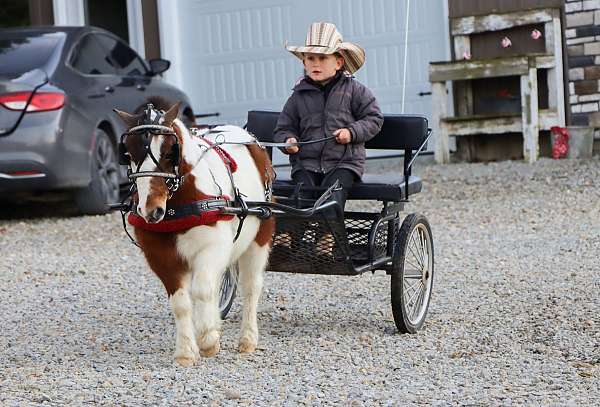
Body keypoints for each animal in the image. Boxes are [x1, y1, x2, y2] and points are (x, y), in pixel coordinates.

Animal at [114, 102, 274, 366]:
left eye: (170, 152)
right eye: (128, 153)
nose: (150, 210)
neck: (180, 202)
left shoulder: (214, 247)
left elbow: (202, 289)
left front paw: (208, 339)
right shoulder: (160, 256)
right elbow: (180, 302)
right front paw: (186, 351)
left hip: (260, 237)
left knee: (251, 287)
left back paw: (247, 339)